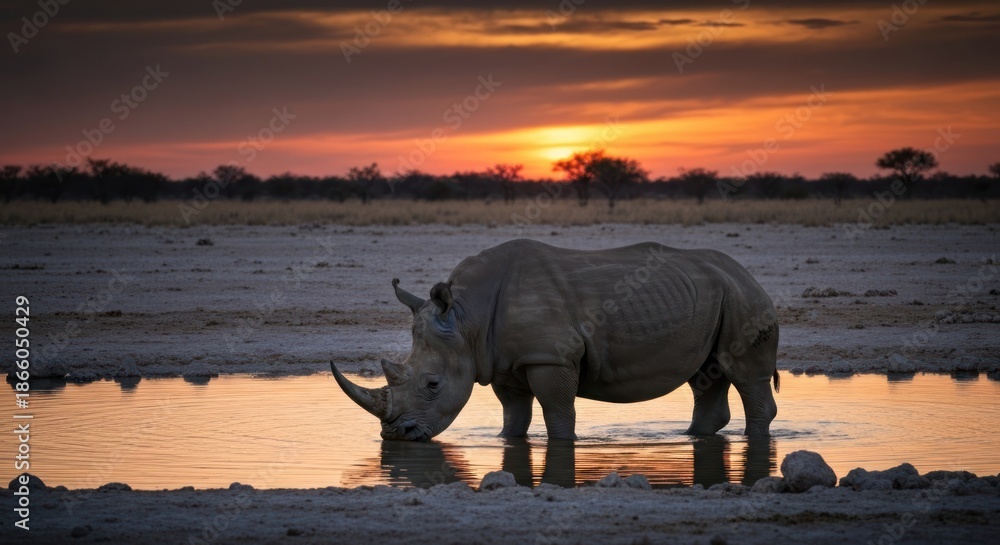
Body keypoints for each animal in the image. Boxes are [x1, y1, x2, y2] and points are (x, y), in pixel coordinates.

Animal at [331, 239, 779, 441]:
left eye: (432, 385)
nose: (395, 435)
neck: (467, 316)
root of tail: (748, 273)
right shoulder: (504, 361)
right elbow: (514, 414)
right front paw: (507, 442)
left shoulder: (550, 357)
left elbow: (557, 411)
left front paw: (564, 445)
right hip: (717, 295)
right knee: (707, 374)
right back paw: (694, 437)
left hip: (744, 297)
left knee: (744, 374)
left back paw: (753, 439)